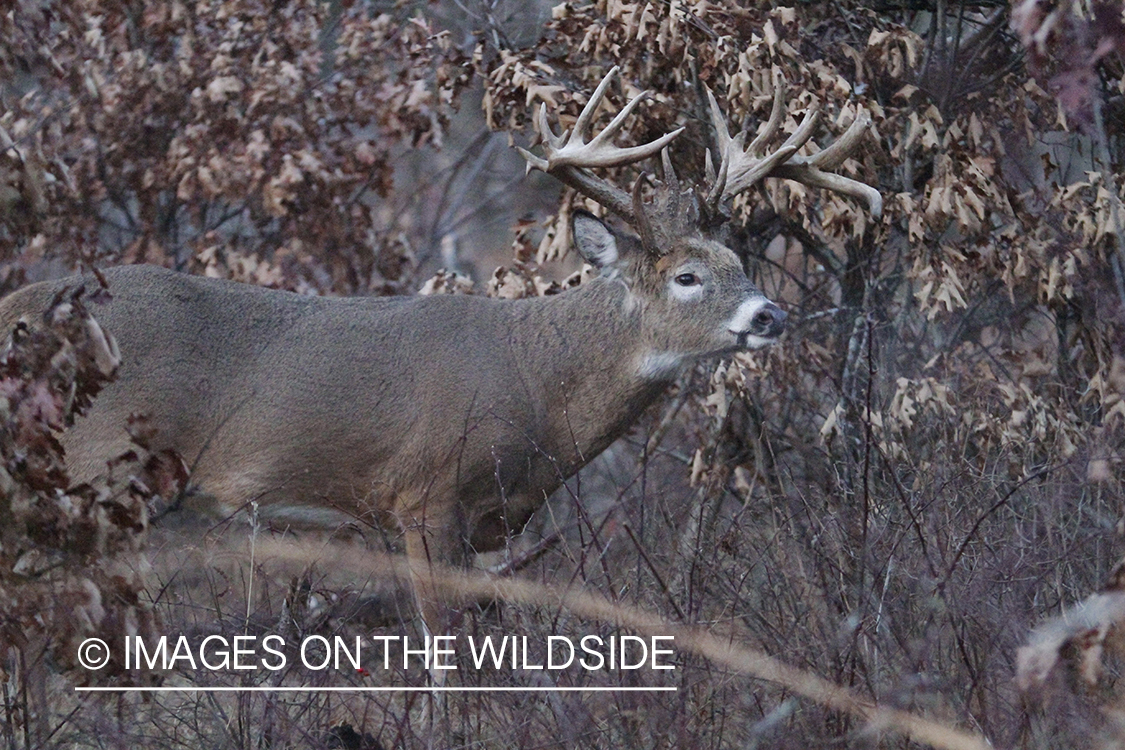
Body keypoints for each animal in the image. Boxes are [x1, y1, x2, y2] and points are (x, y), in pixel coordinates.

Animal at [0, 66, 877, 647]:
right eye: (687, 276)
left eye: (740, 261)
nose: (771, 313)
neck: (537, 382)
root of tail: (21, 309)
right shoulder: (426, 494)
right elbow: (444, 649)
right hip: (92, 465)